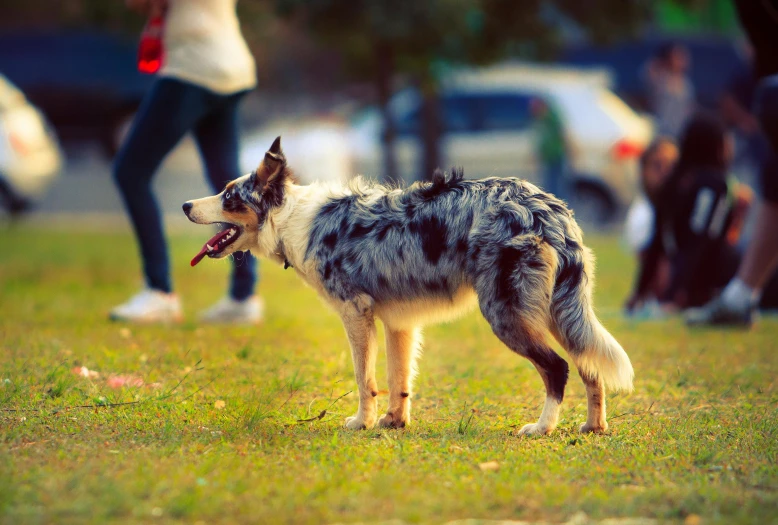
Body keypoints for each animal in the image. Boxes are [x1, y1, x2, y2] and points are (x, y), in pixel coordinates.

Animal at [182, 135, 632, 434]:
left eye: (228, 196)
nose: (185, 205)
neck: (292, 218)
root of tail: (548, 208)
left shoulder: (356, 314)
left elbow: (365, 378)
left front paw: (362, 422)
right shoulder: (400, 323)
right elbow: (399, 379)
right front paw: (393, 422)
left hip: (506, 314)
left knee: (557, 368)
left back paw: (542, 428)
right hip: (560, 312)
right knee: (590, 366)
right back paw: (593, 427)